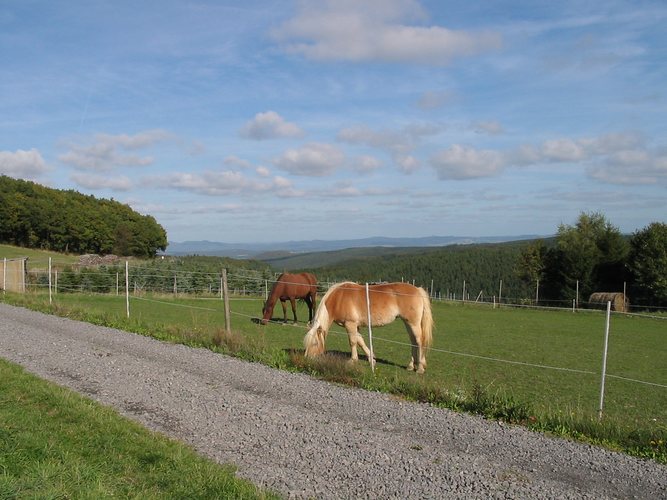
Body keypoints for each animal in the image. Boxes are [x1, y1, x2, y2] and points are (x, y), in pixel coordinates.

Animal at [306, 282, 436, 372]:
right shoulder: (355, 326)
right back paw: (410, 366)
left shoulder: (350, 324)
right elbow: (361, 341)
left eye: (315, 343)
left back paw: (420, 368)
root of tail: (418, 290)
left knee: (419, 341)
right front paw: (372, 359)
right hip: (408, 323)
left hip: (413, 323)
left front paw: (353, 360)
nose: (308, 358)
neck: (338, 298)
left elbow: (353, 342)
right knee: (413, 341)